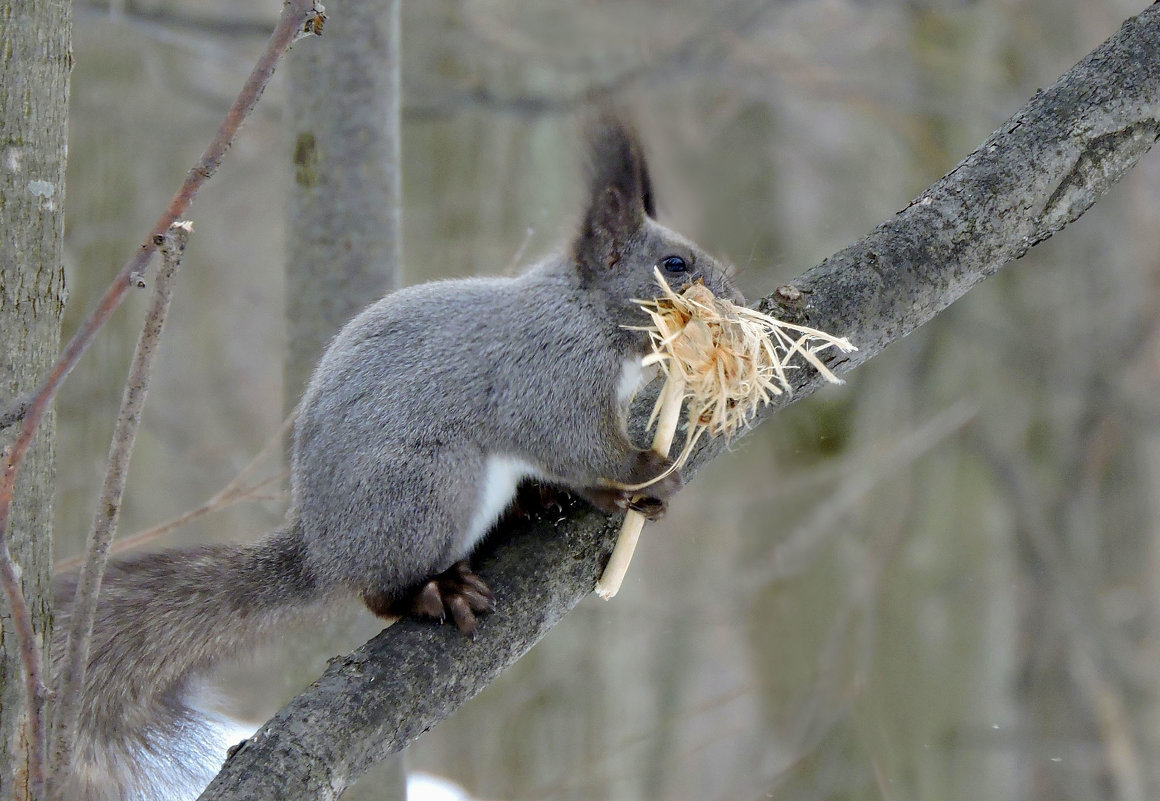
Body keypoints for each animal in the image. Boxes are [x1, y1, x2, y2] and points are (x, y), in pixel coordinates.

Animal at [52, 113, 742, 801]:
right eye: (675, 264)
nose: (735, 303)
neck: (585, 310)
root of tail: (322, 548)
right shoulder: (547, 379)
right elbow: (575, 444)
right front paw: (646, 474)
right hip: (431, 488)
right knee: (378, 592)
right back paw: (436, 591)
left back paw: (528, 505)